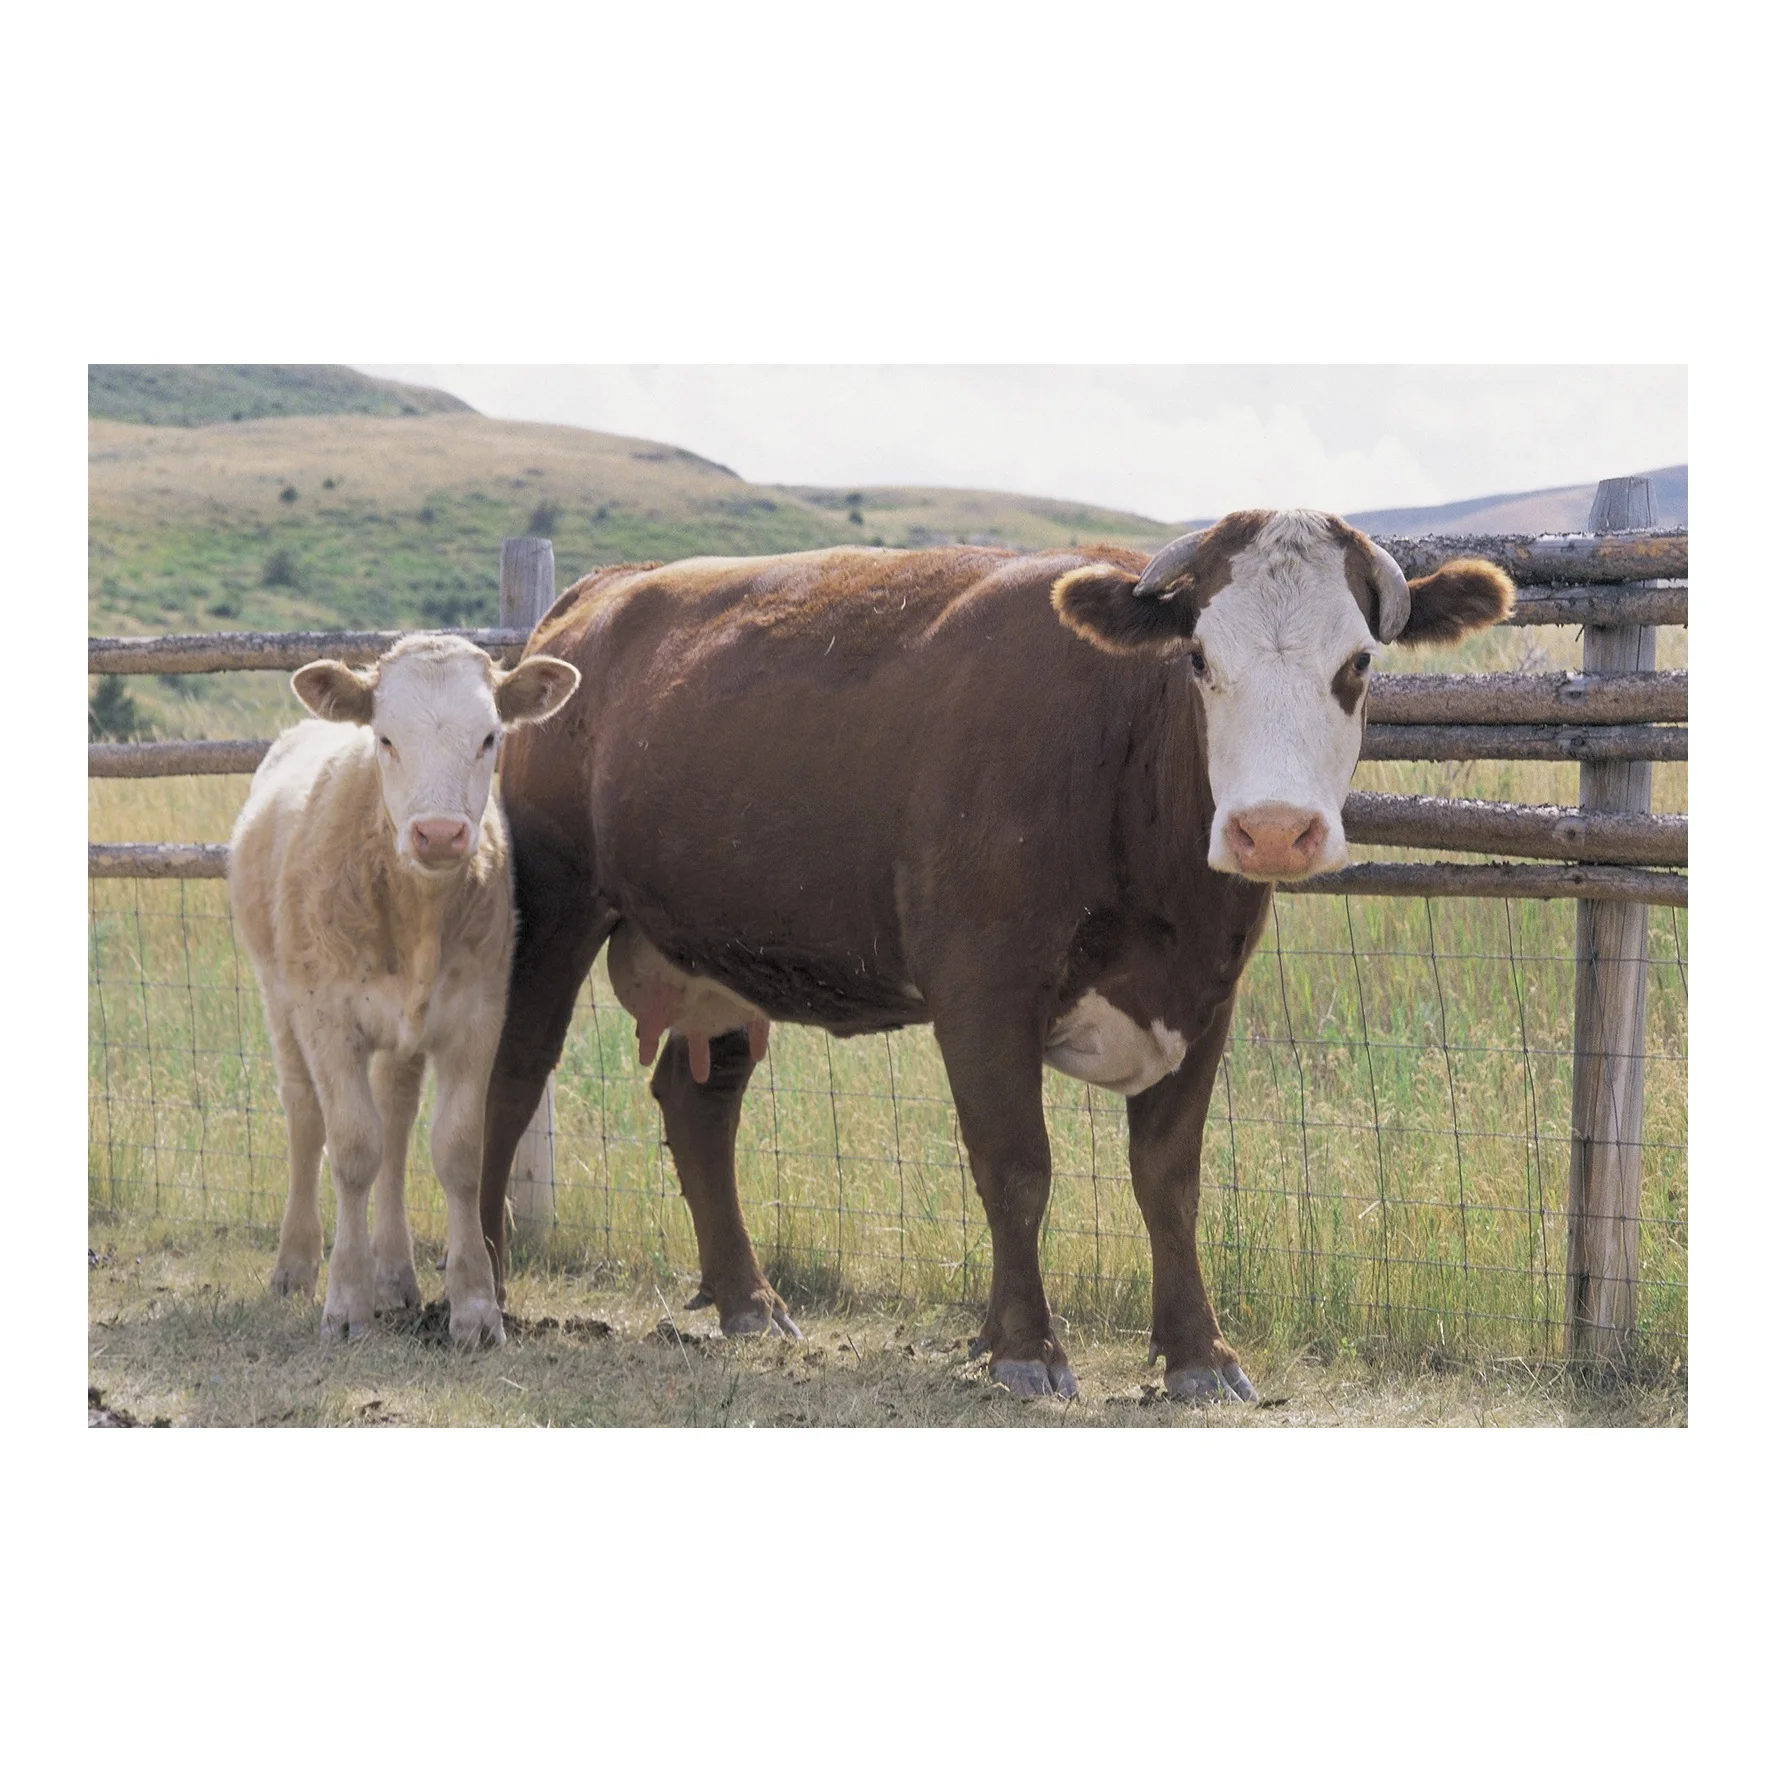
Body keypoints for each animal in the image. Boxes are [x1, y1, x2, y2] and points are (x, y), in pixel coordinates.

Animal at [229, 634, 580, 1348]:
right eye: (385, 738)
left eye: (490, 737)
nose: (439, 833)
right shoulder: (327, 1018)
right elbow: (352, 1148)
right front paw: (346, 1300)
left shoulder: (476, 1017)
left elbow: (457, 1151)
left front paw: (475, 1307)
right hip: (279, 999)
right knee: (306, 1117)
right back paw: (295, 1264)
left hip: (404, 1034)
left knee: (394, 1118)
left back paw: (394, 1275)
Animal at [476, 513, 1512, 1395]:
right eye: (1198, 657)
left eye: (1359, 663)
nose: (1272, 830)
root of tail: (598, 593)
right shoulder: (983, 987)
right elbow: (1016, 1166)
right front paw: (1024, 1347)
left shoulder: (1206, 997)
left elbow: (1169, 1179)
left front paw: (1199, 1355)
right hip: (553, 906)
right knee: (510, 1079)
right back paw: (481, 1286)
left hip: (717, 945)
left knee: (701, 1106)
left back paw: (750, 1301)